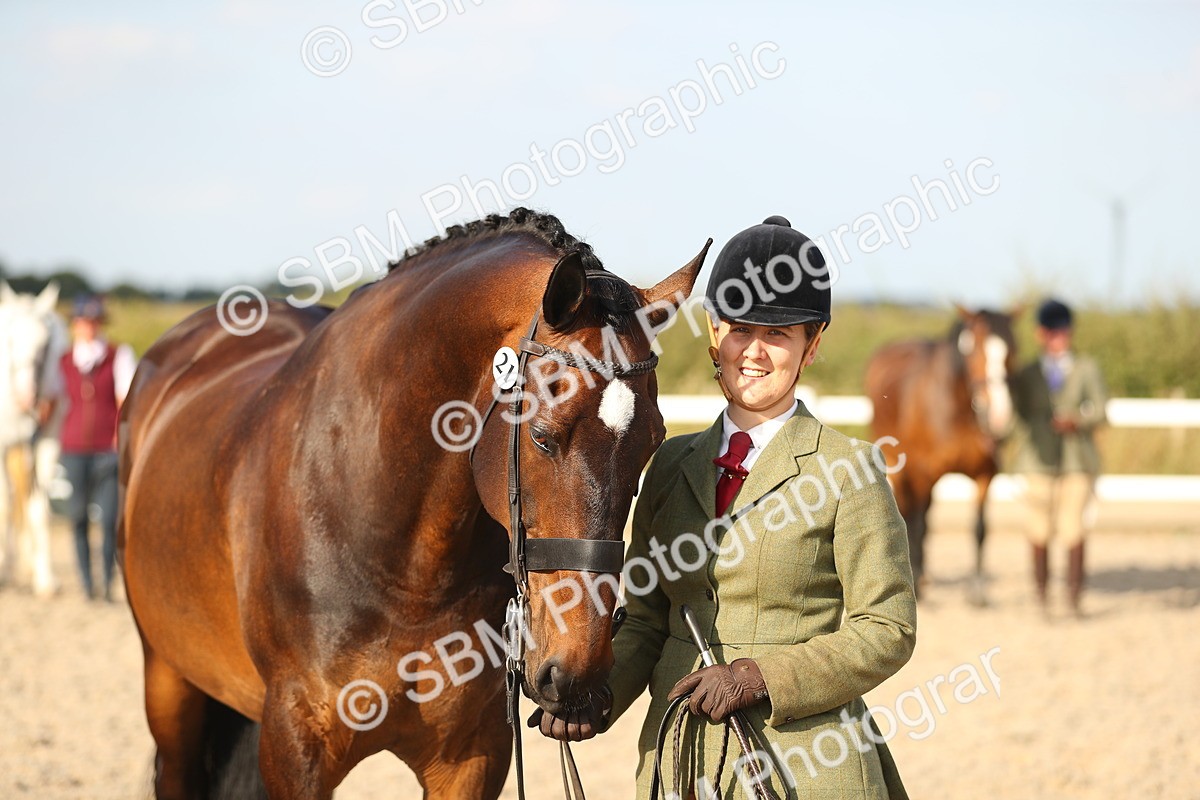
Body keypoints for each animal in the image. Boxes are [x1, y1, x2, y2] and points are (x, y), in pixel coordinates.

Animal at [119, 208, 710, 799]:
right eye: (543, 437)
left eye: (653, 443)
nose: (577, 671)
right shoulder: (296, 745)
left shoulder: (470, 755)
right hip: (168, 684)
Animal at [864, 304, 1020, 605]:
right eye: (975, 349)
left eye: (1012, 349)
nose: (998, 417)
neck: (958, 407)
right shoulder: (924, 472)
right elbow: (918, 525)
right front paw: (918, 588)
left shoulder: (985, 475)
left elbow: (980, 529)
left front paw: (978, 592)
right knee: (912, 516)